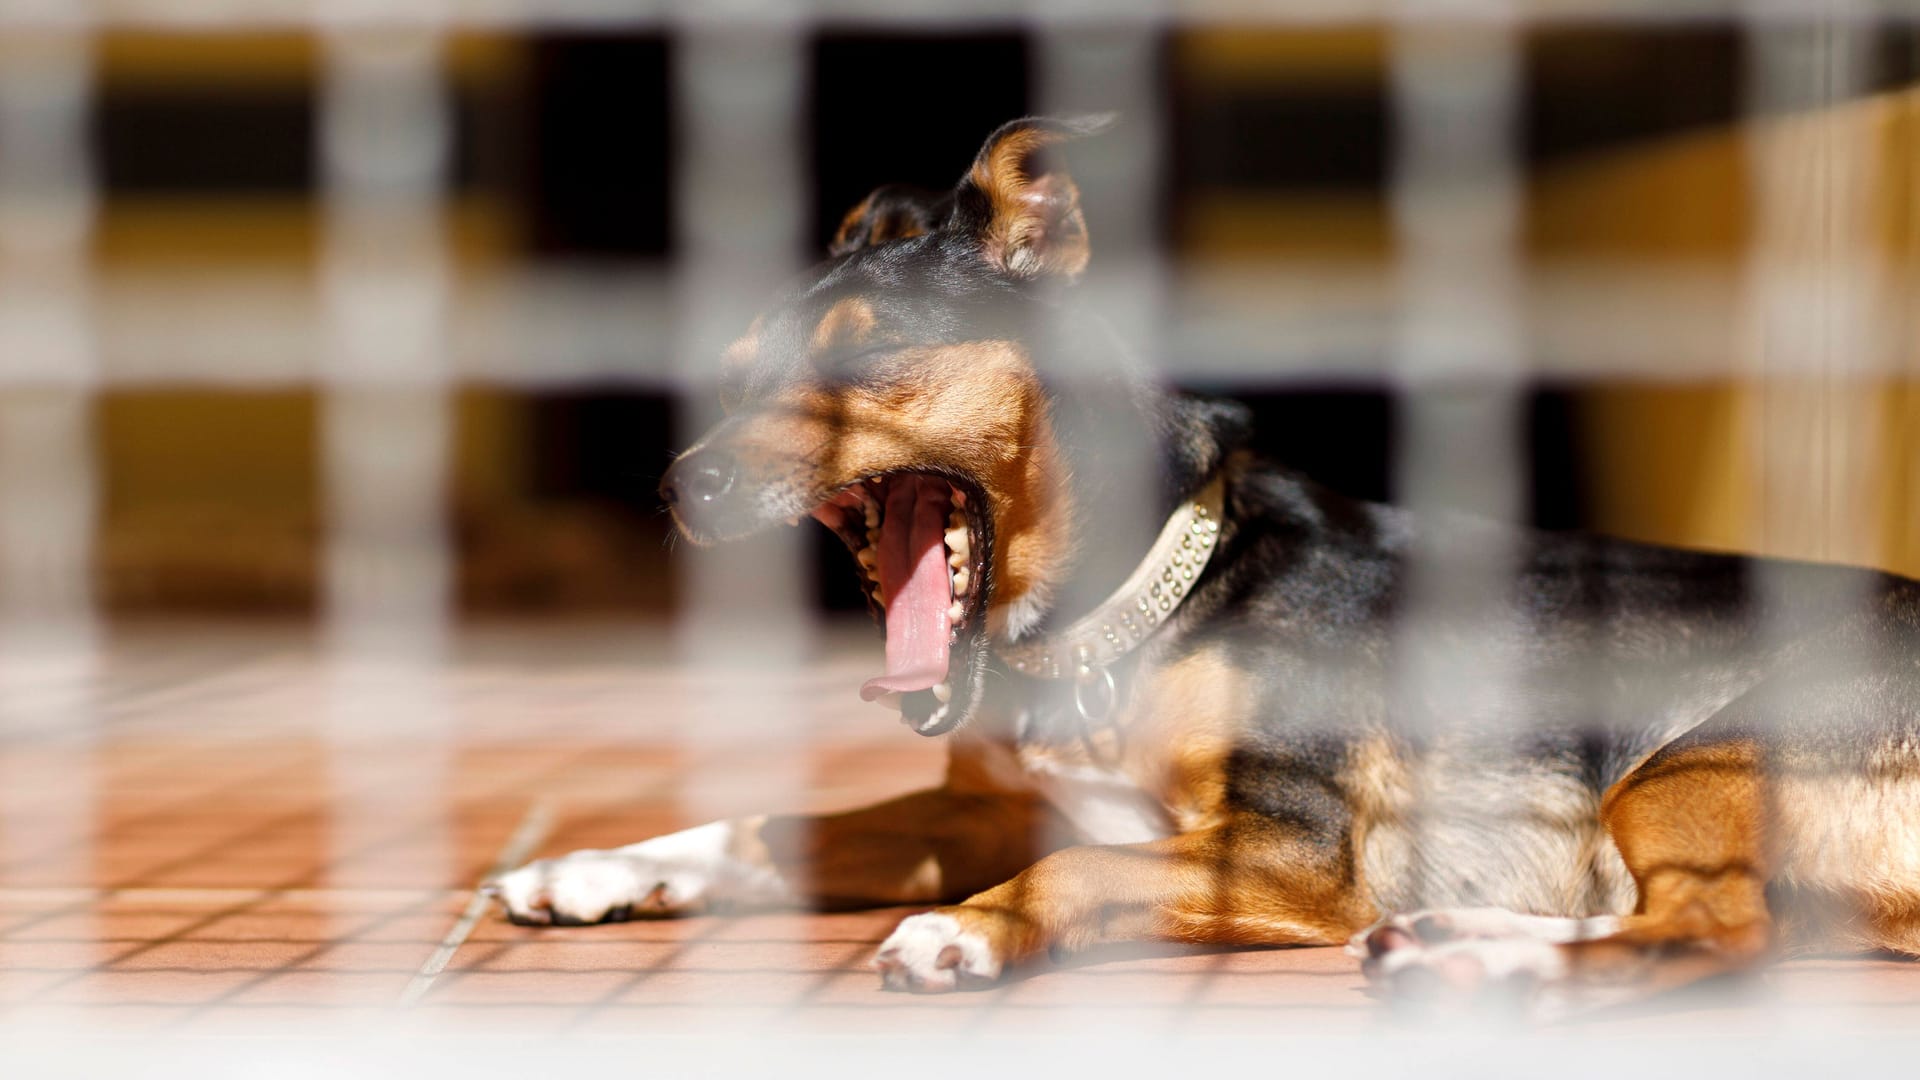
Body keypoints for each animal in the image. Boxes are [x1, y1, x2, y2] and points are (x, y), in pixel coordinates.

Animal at [491, 115, 1920, 1006]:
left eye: (867, 359)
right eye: (733, 380)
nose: (683, 487)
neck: (1105, 635)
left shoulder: (1283, 851)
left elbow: (1074, 868)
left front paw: (967, 929)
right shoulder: (972, 811)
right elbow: (772, 826)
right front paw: (598, 868)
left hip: (1698, 762)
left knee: (1717, 932)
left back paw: (1486, 964)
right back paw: (1460, 940)